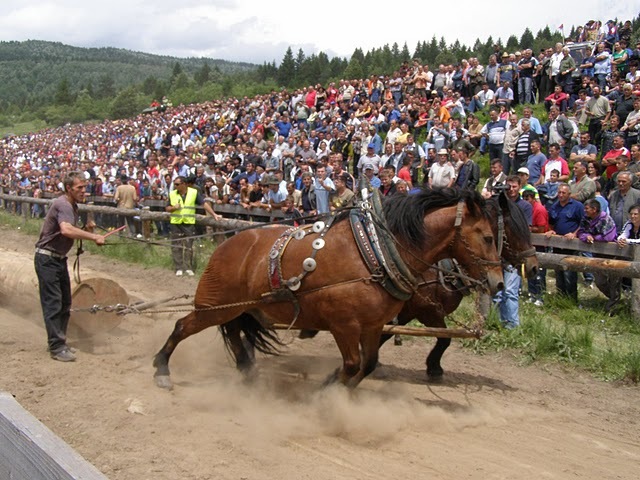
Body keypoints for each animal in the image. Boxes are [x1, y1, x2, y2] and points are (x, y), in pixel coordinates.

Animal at [155, 188, 504, 390]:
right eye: (487, 237)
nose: (498, 282)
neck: (374, 253)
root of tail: (225, 244)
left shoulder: (373, 325)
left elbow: (368, 364)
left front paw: (339, 389)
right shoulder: (343, 324)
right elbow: (352, 364)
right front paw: (328, 389)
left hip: (242, 307)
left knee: (234, 331)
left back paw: (247, 371)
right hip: (213, 305)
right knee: (183, 325)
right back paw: (161, 369)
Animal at [382, 191, 536, 378]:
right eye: (515, 228)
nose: (534, 266)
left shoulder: (409, 312)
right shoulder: (426, 311)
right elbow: (444, 338)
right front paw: (434, 366)